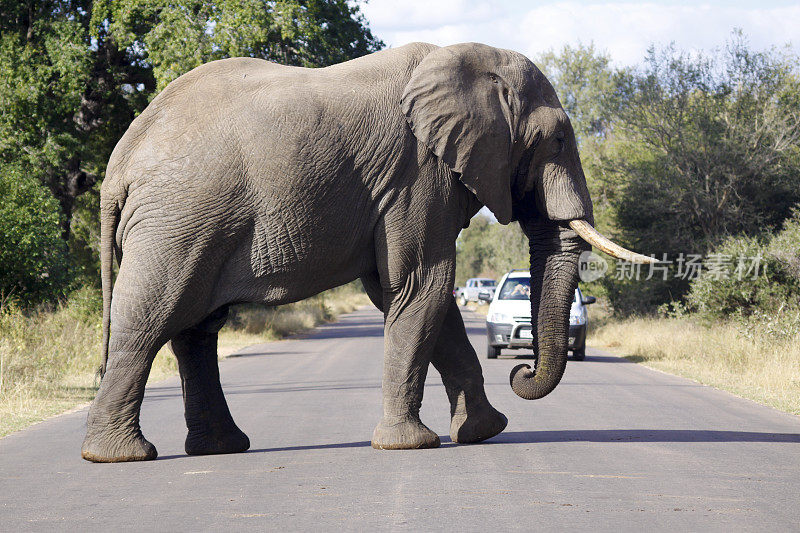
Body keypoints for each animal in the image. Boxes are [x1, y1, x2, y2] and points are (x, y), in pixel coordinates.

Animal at [81, 40, 652, 462]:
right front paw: (412, 446)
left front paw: (485, 432)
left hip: (190, 221)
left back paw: (218, 449)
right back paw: (119, 456)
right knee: (149, 319)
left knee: (196, 331)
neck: (467, 60)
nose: (521, 372)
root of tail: (120, 159)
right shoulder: (418, 174)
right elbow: (421, 287)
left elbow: (424, 300)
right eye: (558, 140)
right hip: (178, 221)